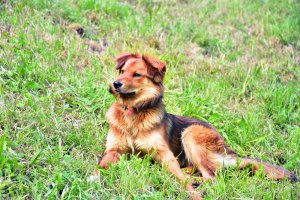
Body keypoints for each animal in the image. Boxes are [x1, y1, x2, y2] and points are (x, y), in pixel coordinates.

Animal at [88, 52, 296, 198]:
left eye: (137, 74)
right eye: (122, 71)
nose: (115, 84)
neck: (133, 113)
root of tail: (229, 150)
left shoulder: (164, 153)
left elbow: (180, 178)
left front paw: (191, 192)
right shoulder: (113, 150)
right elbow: (101, 165)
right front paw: (92, 178)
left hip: (191, 132)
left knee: (211, 176)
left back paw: (192, 179)